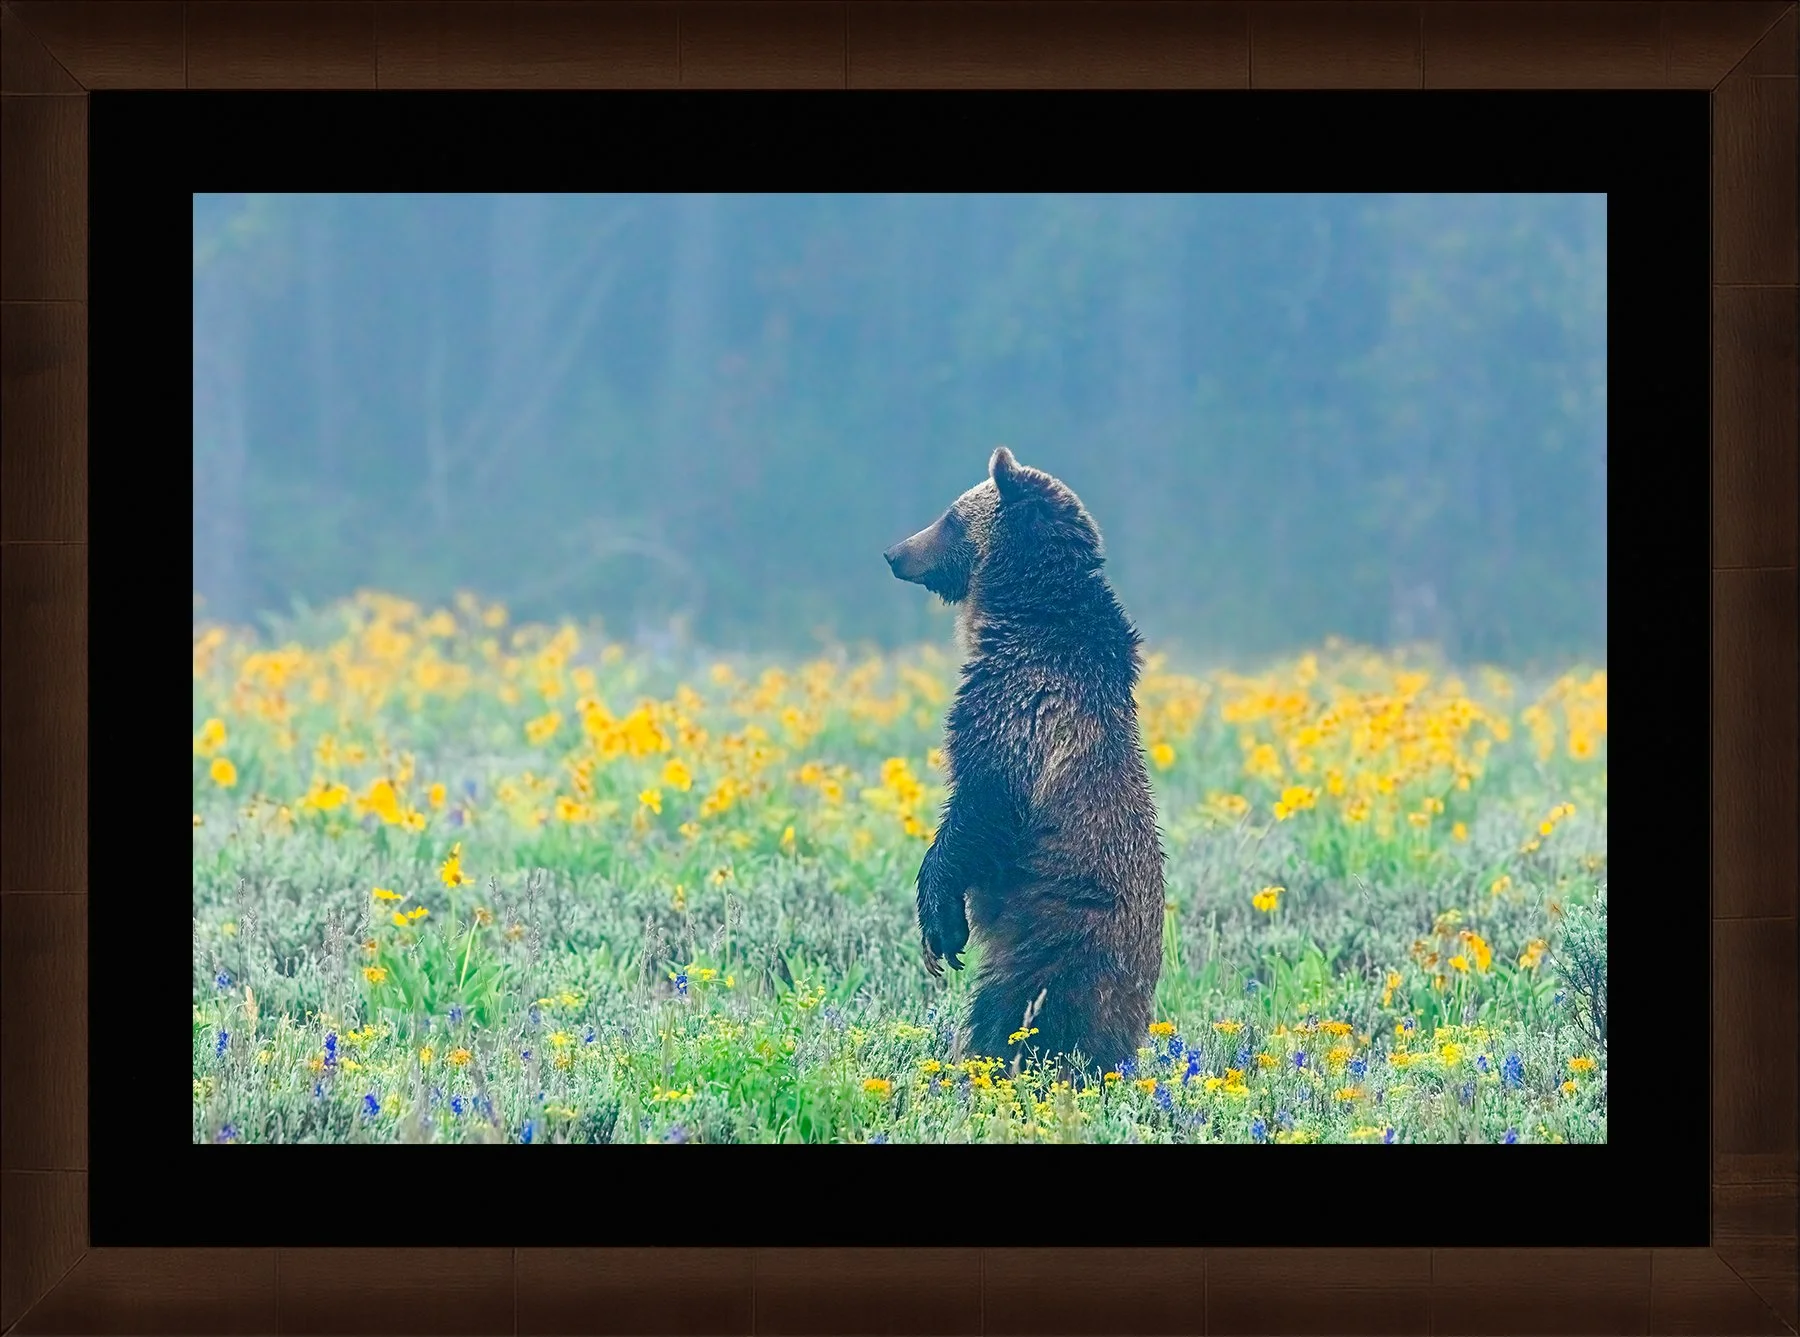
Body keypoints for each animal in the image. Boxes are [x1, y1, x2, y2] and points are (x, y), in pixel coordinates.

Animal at [883, 446, 1165, 1077]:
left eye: (950, 517)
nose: (894, 553)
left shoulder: (1020, 709)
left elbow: (980, 807)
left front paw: (940, 926)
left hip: (1061, 940)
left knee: (1015, 1015)